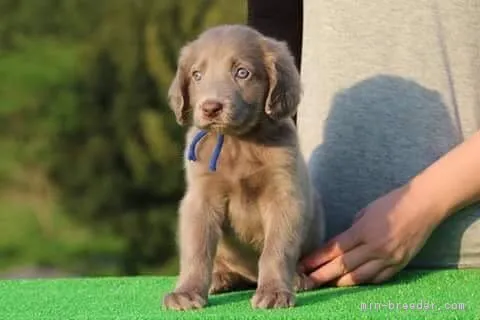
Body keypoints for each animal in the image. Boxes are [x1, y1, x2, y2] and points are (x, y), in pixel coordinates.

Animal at [163, 24, 324, 310]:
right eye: (197, 75)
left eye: (242, 73)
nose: (211, 108)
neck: (237, 143)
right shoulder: (201, 199)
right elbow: (196, 250)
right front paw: (186, 292)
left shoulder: (284, 196)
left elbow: (276, 250)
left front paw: (274, 292)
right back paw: (220, 278)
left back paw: (298, 279)